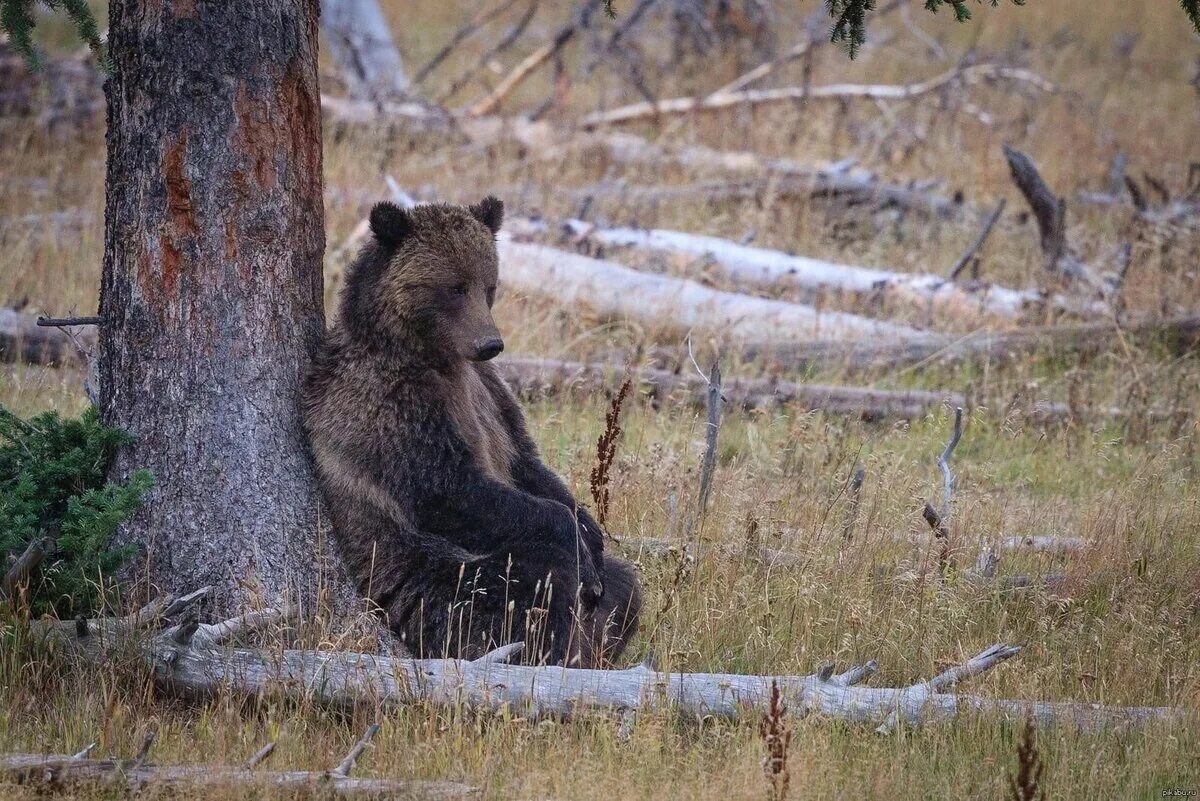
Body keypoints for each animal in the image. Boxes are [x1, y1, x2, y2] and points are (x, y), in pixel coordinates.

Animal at [304, 196, 643, 666]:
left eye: (489, 284)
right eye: (454, 286)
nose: (490, 344)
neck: (431, 356)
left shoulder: (490, 393)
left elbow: (526, 461)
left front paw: (589, 533)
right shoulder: (389, 404)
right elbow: (451, 488)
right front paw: (572, 539)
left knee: (626, 588)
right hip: (428, 580)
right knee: (532, 585)